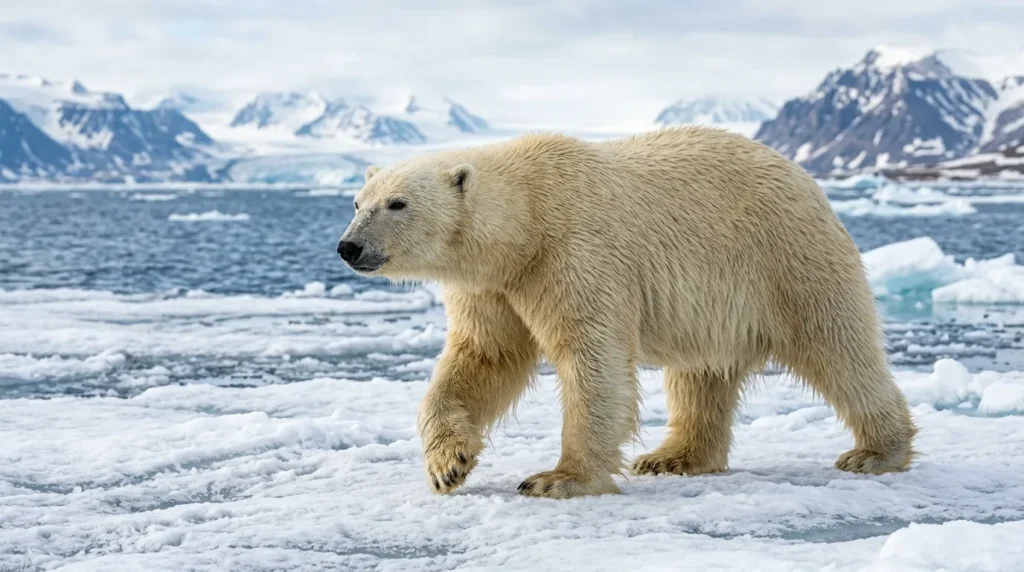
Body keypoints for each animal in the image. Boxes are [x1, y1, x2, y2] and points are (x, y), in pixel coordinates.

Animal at [336, 126, 917, 499]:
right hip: (718, 303)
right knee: (701, 375)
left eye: (398, 204)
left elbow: (591, 359)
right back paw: (673, 457)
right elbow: (484, 358)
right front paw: (448, 465)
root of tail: (809, 181)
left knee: (837, 348)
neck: (525, 222)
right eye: (358, 201)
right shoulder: (494, 286)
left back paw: (876, 453)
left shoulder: (575, 251)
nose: (349, 247)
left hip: (787, 260)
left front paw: (557, 479)